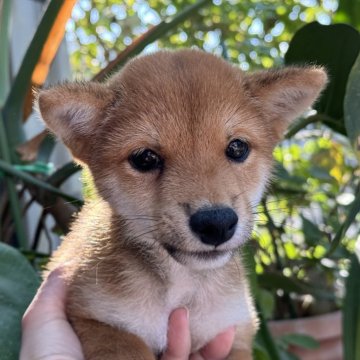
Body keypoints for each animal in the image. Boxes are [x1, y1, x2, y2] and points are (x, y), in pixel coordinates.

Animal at [38, 49, 328, 358]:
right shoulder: (96, 319)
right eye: (145, 158)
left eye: (238, 147)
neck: (182, 288)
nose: (216, 223)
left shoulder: (235, 334)